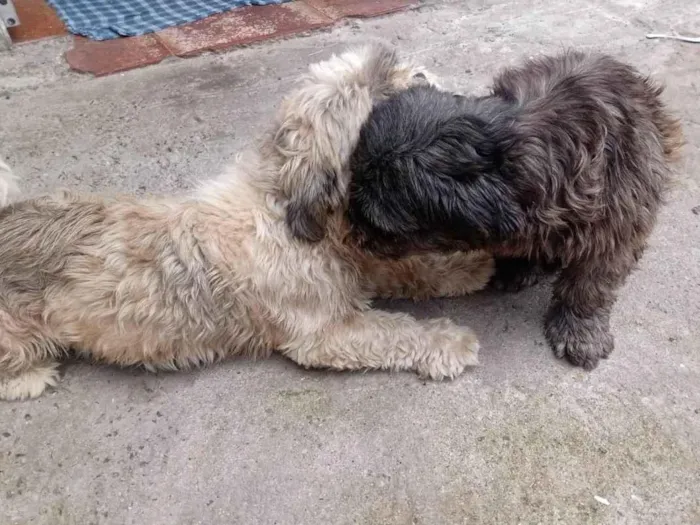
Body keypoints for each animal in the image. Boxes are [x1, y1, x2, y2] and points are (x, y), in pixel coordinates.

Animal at [0, 45, 492, 400]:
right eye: (378, 108)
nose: (420, 75)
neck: (289, 209)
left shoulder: (361, 264)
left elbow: (408, 270)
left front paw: (460, 268)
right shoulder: (326, 334)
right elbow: (395, 330)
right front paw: (445, 341)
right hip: (17, 336)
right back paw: (28, 378)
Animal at [344, 49, 684, 368]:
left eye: (379, 224)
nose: (350, 235)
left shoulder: (616, 223)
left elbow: (590, 284)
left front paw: (579, 330)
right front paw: (519, 265)